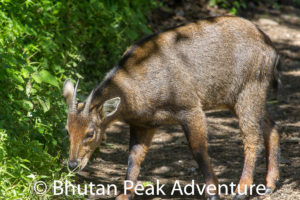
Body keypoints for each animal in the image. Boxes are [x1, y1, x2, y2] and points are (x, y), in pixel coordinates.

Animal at [62, 16, 280, 200]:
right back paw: (269, 184)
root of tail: (272, 49)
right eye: (67, 130)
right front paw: (124, 195)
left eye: (90, 132)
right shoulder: (144, 123)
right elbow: (134, 158)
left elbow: (198, 150)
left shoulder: (191, 108)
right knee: (271, 126)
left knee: (252, 138)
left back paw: (241, 190)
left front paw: (213, 193)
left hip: (249, 91)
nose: (72, 164)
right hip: (239, 99)